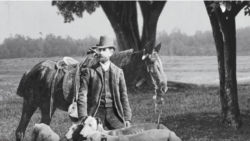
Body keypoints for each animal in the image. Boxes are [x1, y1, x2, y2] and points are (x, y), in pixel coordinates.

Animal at [14, 43, 167, 140]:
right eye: (151, 63)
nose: (163, 87)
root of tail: (31, 71)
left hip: (39, 107)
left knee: (25, 131)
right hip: (37, 106)